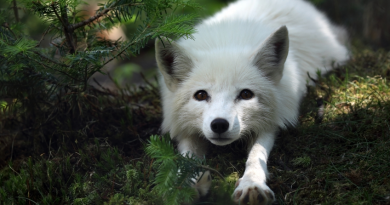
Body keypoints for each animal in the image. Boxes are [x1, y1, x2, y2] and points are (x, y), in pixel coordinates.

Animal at [154, 0, 348, 203]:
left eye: (246, 94)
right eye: (201, 95)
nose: (219, 125)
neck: (227, 43)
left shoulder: (270, 122)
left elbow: (256, 155)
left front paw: (252, 184)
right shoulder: (184, 128)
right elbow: (186, 157)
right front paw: (182, 184)